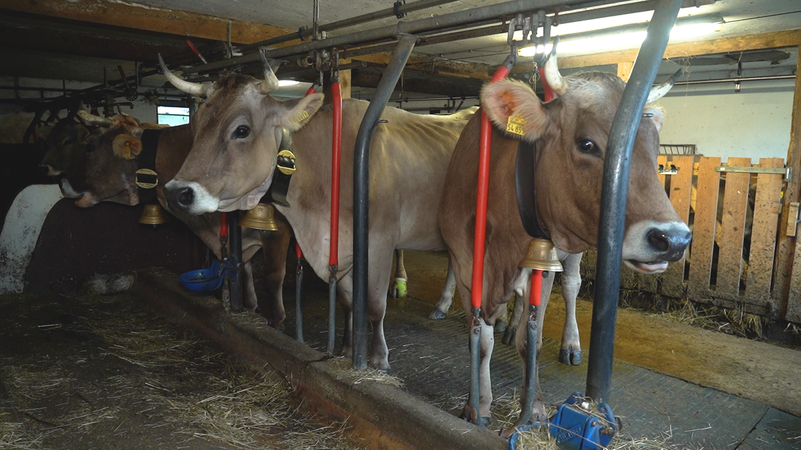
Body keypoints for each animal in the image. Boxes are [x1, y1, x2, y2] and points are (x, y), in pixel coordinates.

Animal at [438, 52, 692, 426]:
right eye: (586, 143)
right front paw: (478, 405)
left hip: (570, 248)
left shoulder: (544, 261)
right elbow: (479, 339)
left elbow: (531, 340)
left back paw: (568, 343)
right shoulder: (465, 258)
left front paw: (533, 409)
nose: (674, 239)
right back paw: (507, 323)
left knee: (572, 286)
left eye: (653, 147)